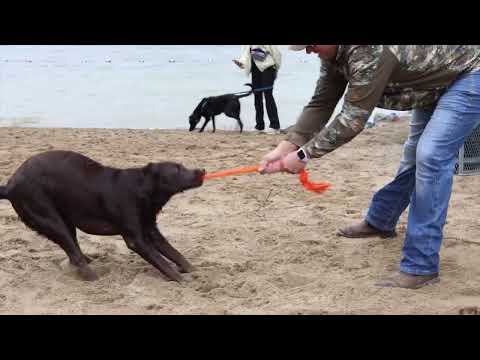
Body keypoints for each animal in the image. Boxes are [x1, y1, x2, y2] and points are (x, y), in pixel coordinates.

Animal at [0, 150, 204, 282]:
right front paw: (181, 280)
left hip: (66, 221)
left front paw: (191, 270)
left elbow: (174, 253)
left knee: (73, 250)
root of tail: (9, 186)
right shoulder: (136, 239)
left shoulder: (151, 231)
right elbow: (162, 261)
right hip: (50, 219)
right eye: (177, 169)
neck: (142, 188)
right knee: (74, 255)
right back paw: (93, 278)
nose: (202, 170)